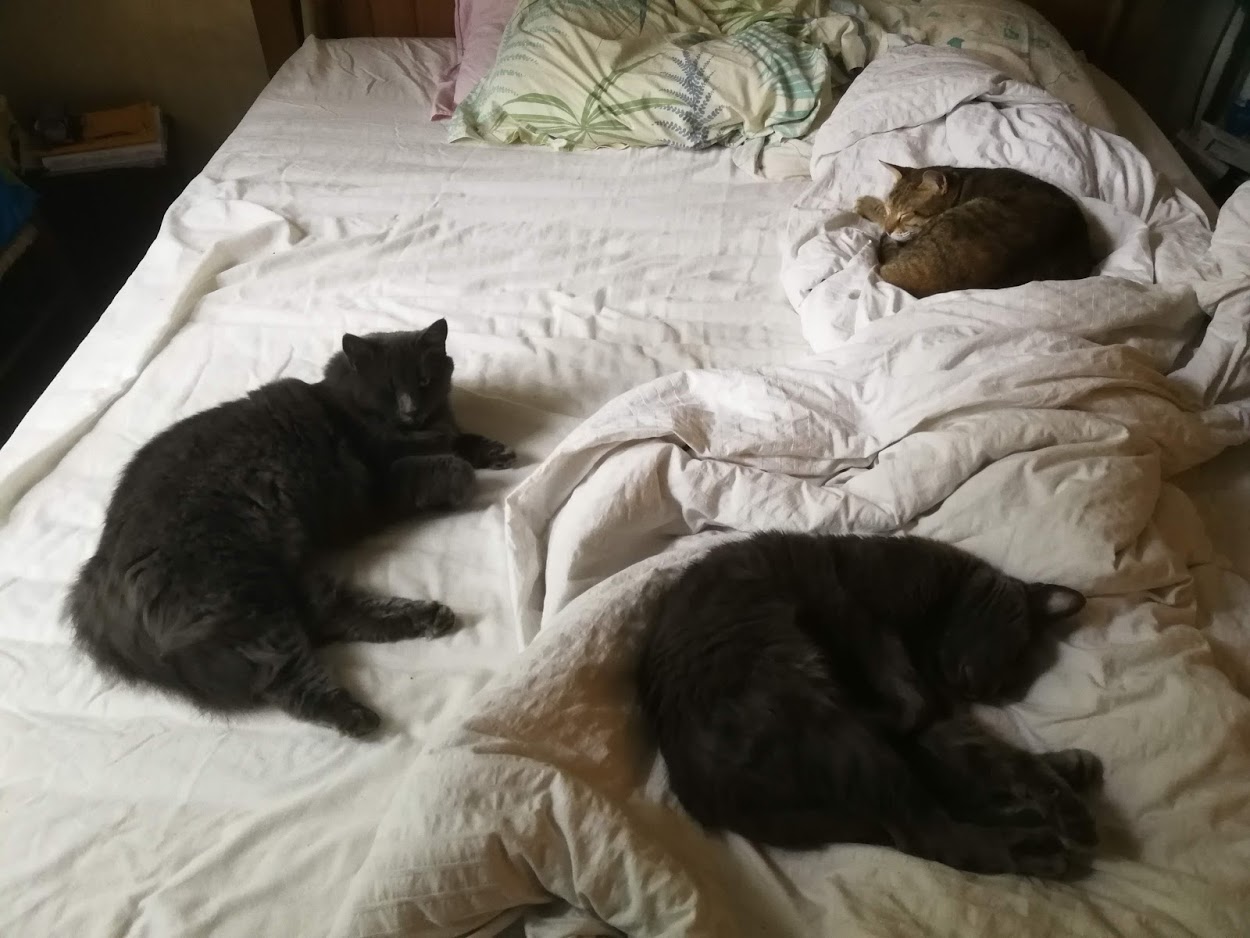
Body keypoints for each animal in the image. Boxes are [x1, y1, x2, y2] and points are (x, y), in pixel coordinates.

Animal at [68, 319, 515, 737]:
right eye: (389, 388)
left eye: (424, 381)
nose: (410, 410)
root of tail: (98, 573)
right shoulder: (377, 489)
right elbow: (442, 466)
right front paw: (465, 479)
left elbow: (460, 439)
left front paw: (496, 451)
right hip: (245, 594)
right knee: (287, 675)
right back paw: (356, 716)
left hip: (284, 570)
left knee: (330, 614)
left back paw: (430, 617)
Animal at [636, 531, 1102, 879]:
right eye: (1017, 649)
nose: (991, 691)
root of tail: (703, 800)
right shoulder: (861, 613)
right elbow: (910, 693)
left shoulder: (938, 711)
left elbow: (997, 757)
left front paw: (1059, 795)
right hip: (816, 711)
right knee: (928, 833)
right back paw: (1037, 846)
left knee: (939, 802)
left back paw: (1060, 785)